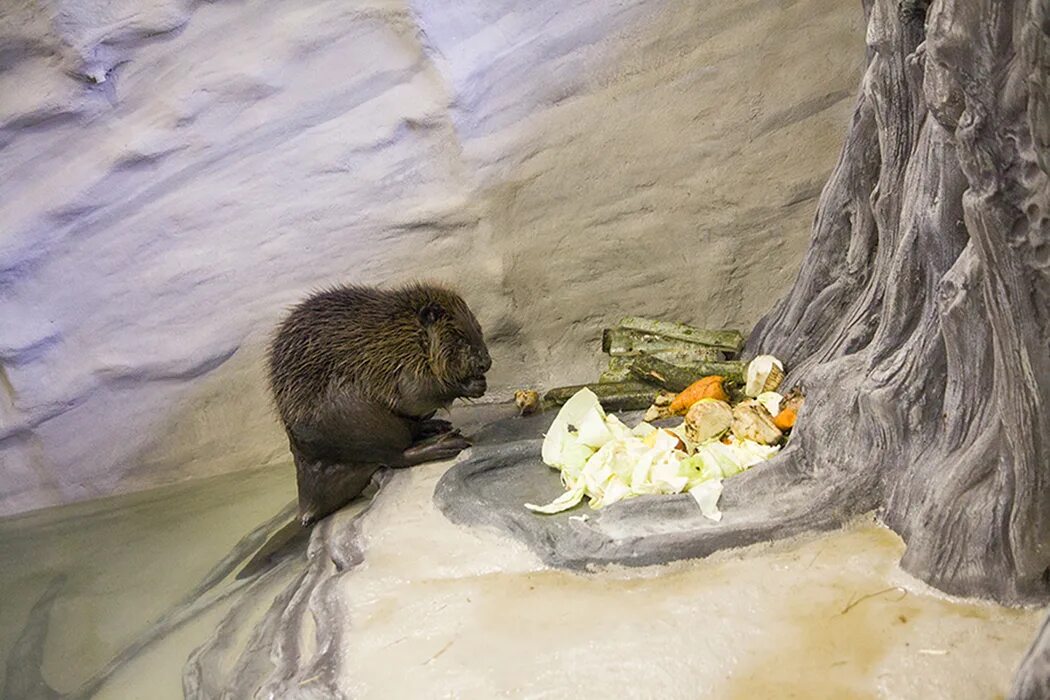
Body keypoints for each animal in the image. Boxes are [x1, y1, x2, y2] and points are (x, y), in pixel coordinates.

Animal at [266, 281, 487, 524]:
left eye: (478, 327)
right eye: (458, 336)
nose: (486, 362)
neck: (404, 329)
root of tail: (307, 504)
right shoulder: (395, 360)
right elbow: (415, 394)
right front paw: (471, 385)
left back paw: (436, 426)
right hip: (358, 418)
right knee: (395, 456)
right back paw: (447, 443)